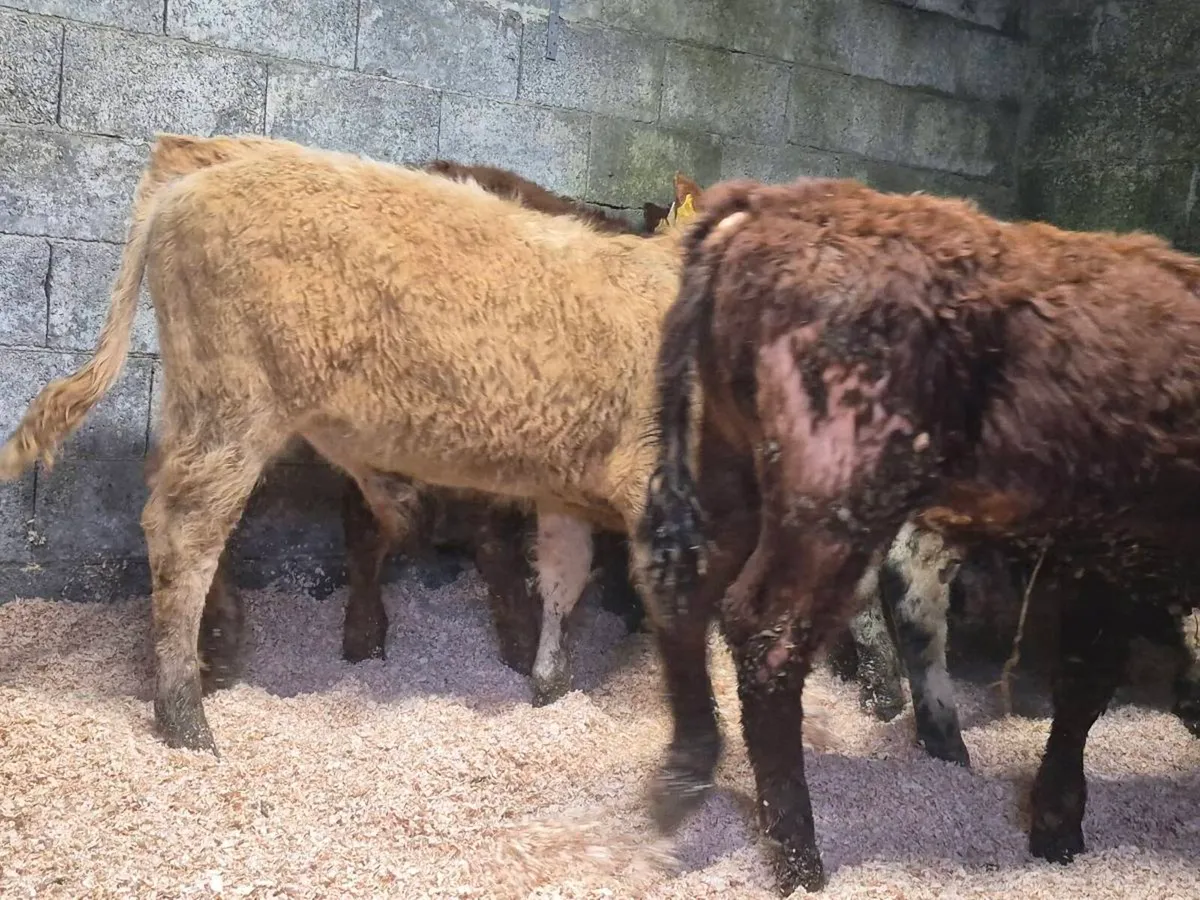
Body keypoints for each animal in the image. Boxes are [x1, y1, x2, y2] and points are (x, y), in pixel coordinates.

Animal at [639, 175, 1200, 893]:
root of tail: (771, 201)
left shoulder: (1096, 550)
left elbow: (1082, 681)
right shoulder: (1127, 550)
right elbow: (1089, 683)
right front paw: (1059, 829)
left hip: (733, 468)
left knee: (687, 592)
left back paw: (687, 772)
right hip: (832, 500)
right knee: (767, 634)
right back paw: (802, 863)